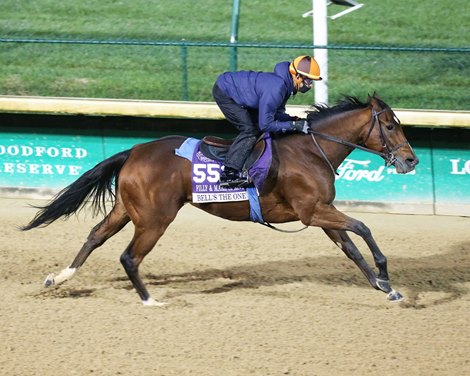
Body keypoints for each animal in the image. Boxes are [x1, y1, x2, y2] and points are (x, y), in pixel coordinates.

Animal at [21, 94, 418, 306]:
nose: (411, 160)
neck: (310, 151)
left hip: (126, 209)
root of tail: (133, 150)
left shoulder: (321, 212)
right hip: (154, 219)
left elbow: (351, 249)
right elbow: (363, 228)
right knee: (129, 256)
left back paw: (59, 278)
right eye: (390, 125)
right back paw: (150, 300)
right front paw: (385, 274)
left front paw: (385, 288)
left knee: (95, 237)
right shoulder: (313, 212)